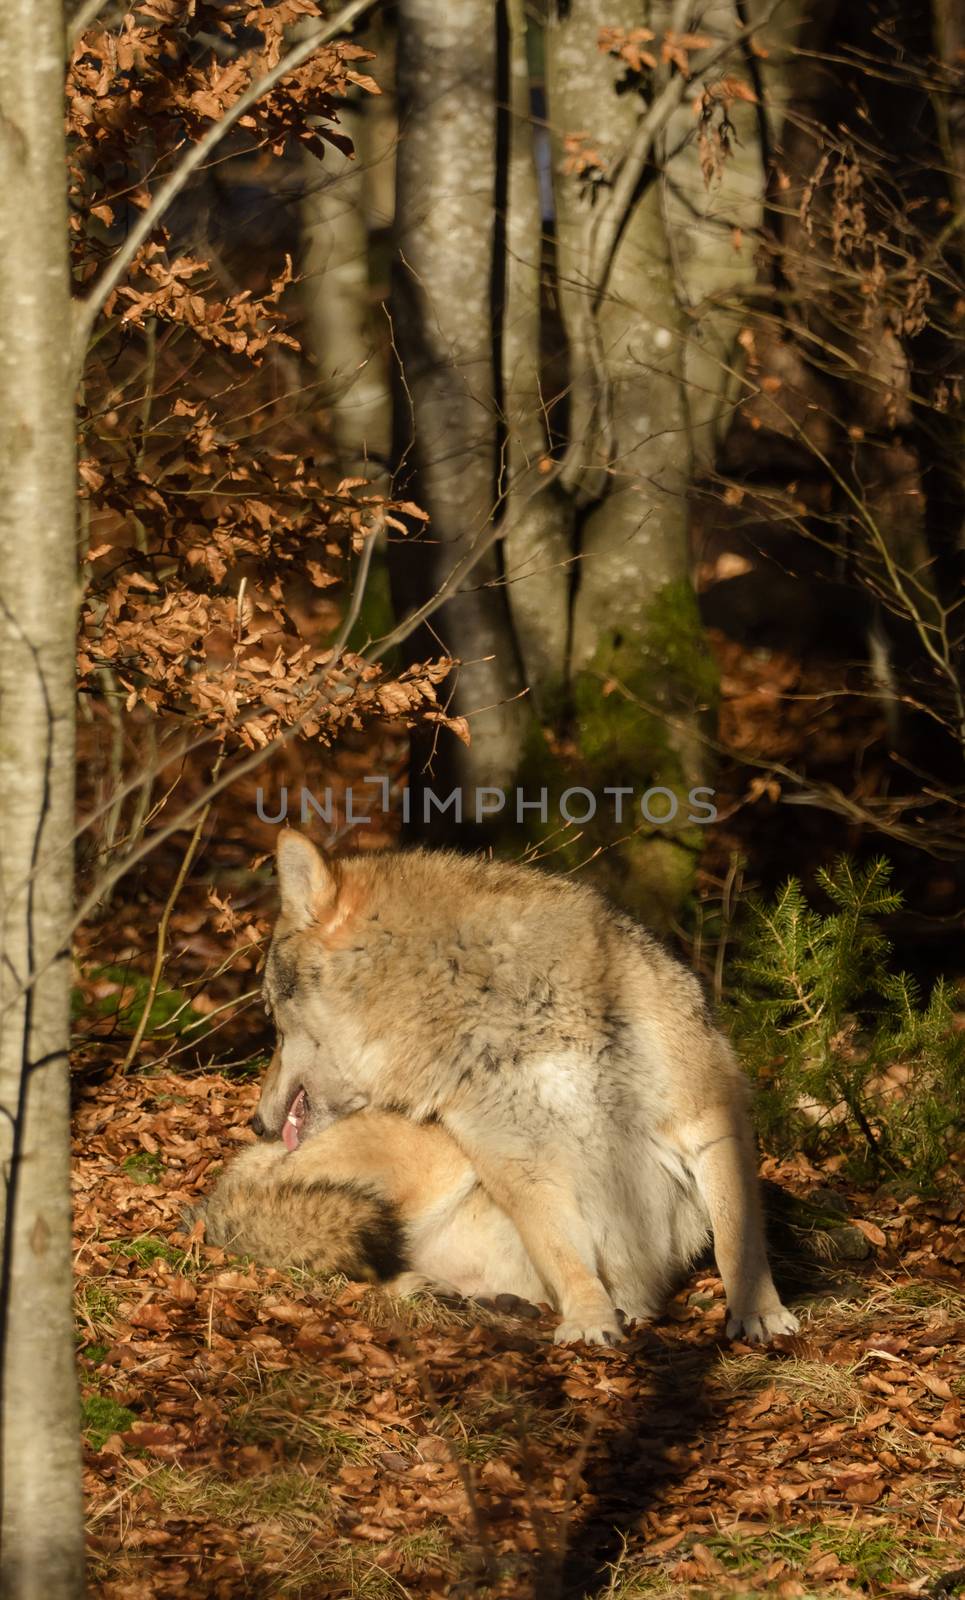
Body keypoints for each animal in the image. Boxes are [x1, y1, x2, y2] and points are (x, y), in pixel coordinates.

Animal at [244, 838, 796, 1350]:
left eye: (271, 1018)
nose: (255, 1122)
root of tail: (236, 1172)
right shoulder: (522, 1164)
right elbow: (563, 1254)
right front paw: (590, 1322)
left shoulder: (708, 1116)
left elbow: (737, 1240)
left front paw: (759, 1314)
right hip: (433, 1159)